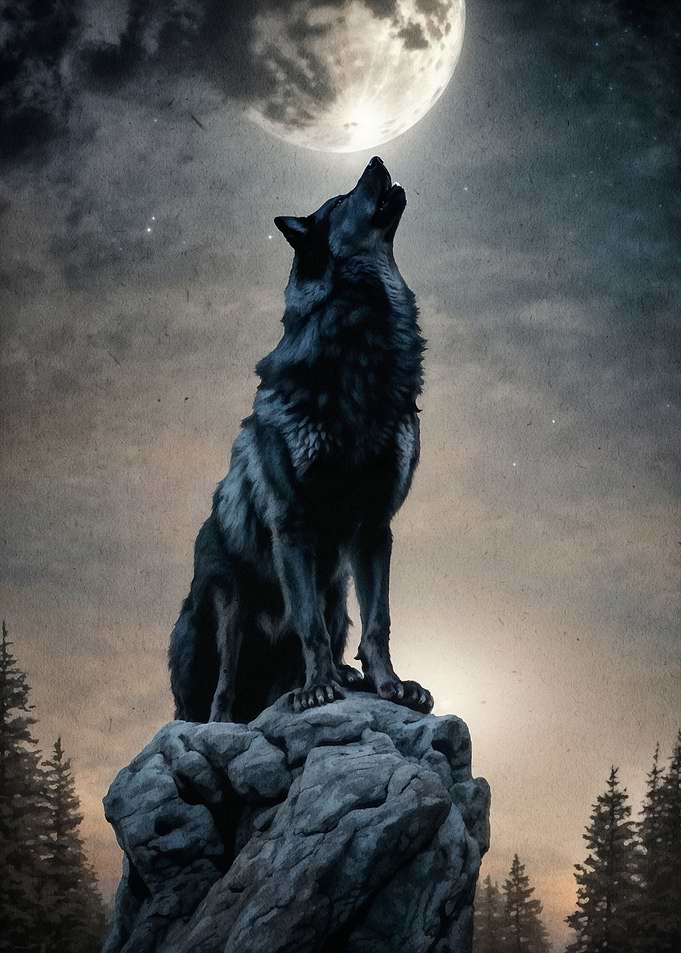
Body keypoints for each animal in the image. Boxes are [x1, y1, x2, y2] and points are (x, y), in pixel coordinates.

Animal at [169, 156, 433, 724]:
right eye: (341, 199)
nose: (377, 159)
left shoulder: (374, 526)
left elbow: (379, 623)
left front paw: (391, 686)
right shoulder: (293, 524)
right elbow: (306, 625)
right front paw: (317, 691)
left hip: (337, 596)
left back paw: (347, 679)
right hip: (227, 603)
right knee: (221, 687)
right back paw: (232, 715)